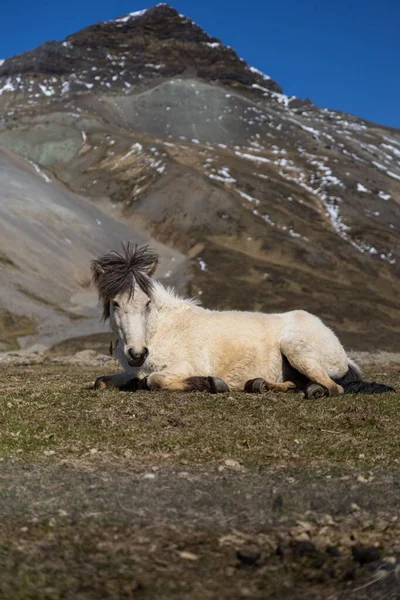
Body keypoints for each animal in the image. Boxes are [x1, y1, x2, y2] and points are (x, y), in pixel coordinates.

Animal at [90, 244, 394, 398]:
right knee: (297, 383)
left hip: (297, 350)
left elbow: (153, 381)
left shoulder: (182, 366)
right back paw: (260, 385)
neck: (160, 330)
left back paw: (314, 390)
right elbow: (101, 381)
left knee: (333, 387)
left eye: (147, 302)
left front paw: (212, 383)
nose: (137, 354)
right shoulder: (130, 372)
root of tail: (338, 346)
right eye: (115, 303)